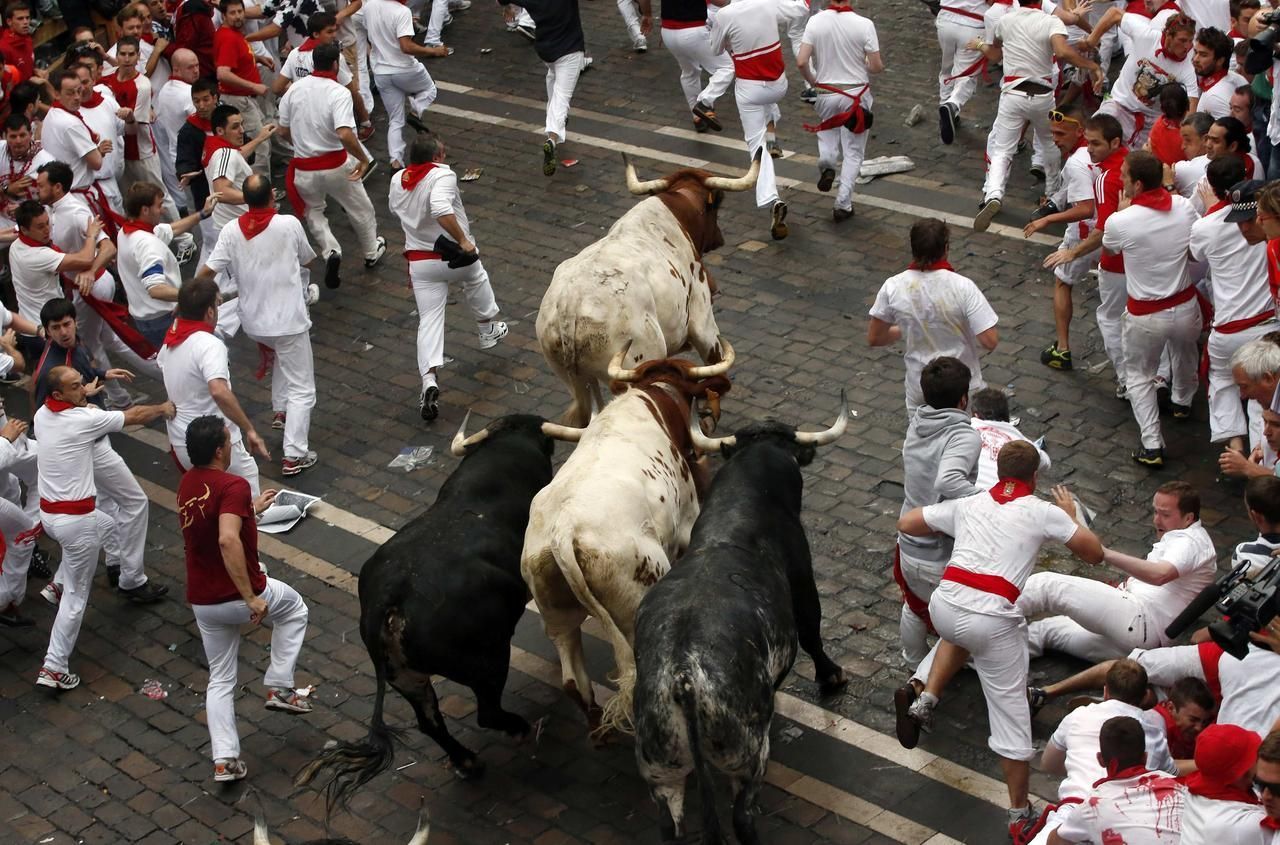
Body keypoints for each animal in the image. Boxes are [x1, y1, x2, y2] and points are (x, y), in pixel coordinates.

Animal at [294, 412, 581, 809]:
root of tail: (389, 601)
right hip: (487, 662)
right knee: (487, 712)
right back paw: (517, 729)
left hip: (406, 677)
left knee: (430, 722)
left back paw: (467, 763)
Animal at [519, 345, 737, 737]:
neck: (655, 399)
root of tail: (564, 530)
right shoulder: (687, 524)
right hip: (637, 604)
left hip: (555, 611)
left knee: (573, 678)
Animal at [632, 396, 849, 845]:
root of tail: (683, 677)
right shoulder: (803, 577)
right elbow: (812, 630)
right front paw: (832, 676)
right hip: (746, 756)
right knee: (742, 817)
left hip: (661, 770)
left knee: (669, 825)